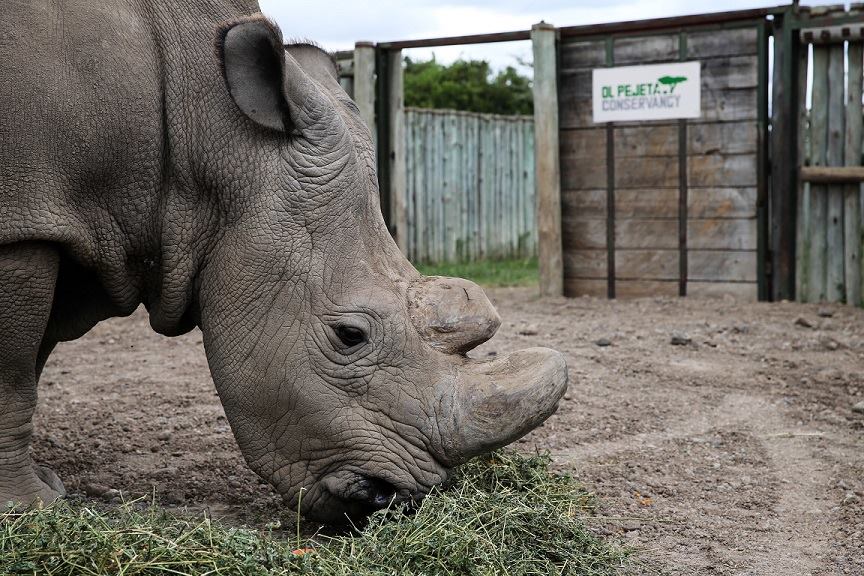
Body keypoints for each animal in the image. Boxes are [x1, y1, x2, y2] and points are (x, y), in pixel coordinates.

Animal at [0, 0, 568, 523]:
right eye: (349, 335)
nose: (391, 501)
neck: (209, 134)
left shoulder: (64, 218)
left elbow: (35, 355)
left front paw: (44, 488)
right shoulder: (26, 221)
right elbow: (15, 371)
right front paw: (30, 507)